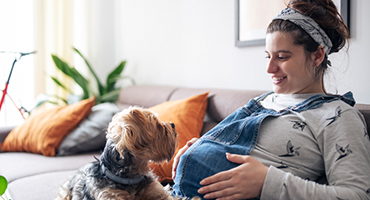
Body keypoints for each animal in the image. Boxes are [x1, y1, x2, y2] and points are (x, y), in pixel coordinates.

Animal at [55, 107, 198, 199]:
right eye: (157, 125)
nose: (173, 124)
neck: (129, 177)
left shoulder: (157, 191)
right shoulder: (110, 195)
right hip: (65, 193)